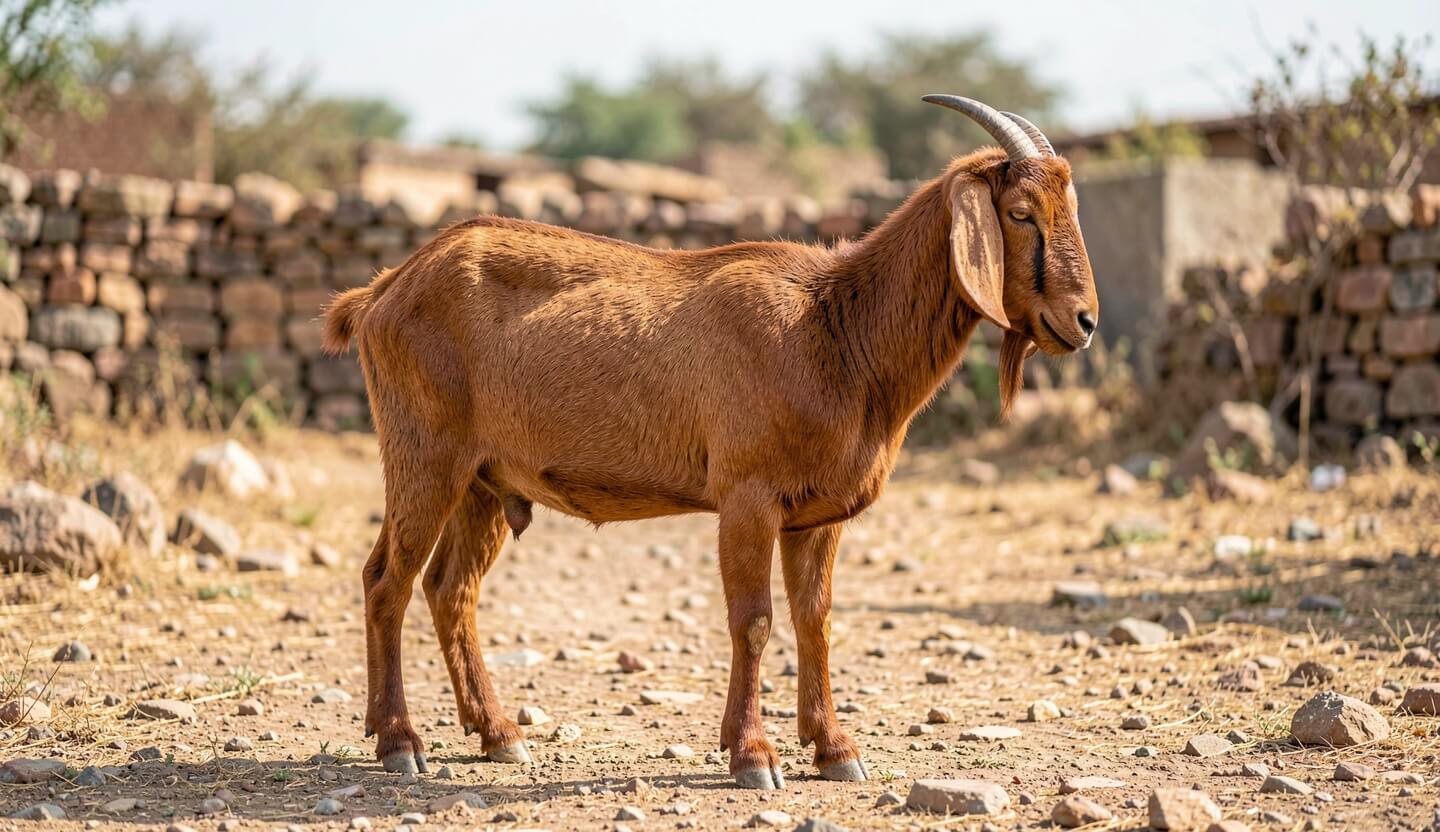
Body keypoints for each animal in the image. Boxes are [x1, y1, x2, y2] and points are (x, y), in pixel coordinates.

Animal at [324, 95, 1099, 789]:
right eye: (1020, 212)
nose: (1084, 320)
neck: (836, 330)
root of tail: (382, 290)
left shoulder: (817, 516)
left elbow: (814, 619)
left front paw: (835, 749)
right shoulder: (748, 496)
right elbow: (753, 620)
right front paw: (753, 756)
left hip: (485, 480)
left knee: (450, 590)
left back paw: (498, 733)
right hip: (424, 457)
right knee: (386, 580)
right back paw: (399, 742)